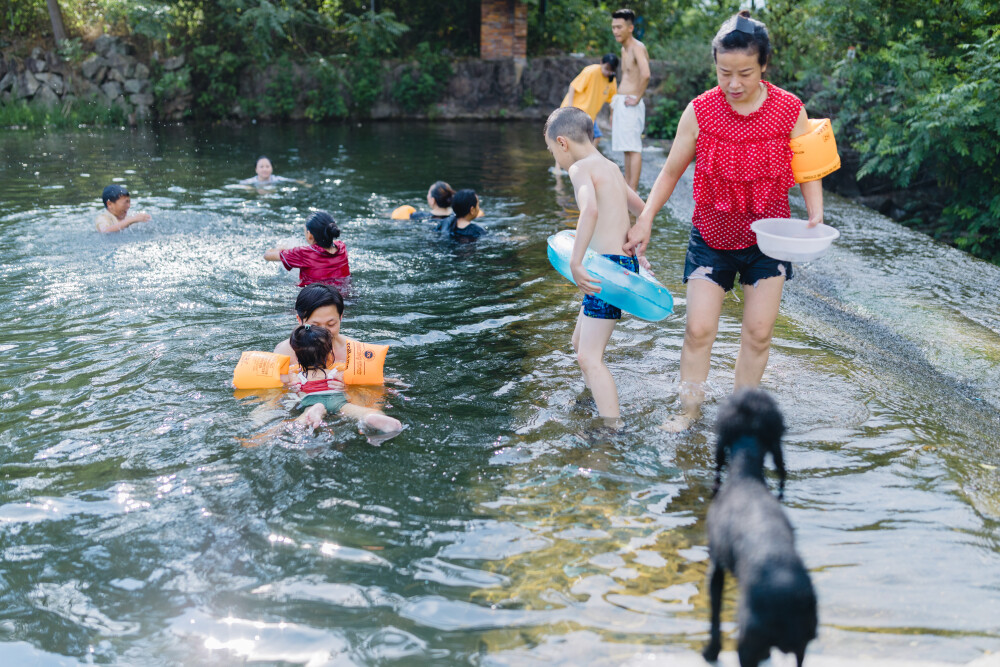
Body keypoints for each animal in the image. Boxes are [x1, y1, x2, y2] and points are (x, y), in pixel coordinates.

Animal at [700, 388, 816, 667]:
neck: (746, 475)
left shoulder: (716, 563)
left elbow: (715, 611)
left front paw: (711, 651)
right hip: (802, 645)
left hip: (748, 642)